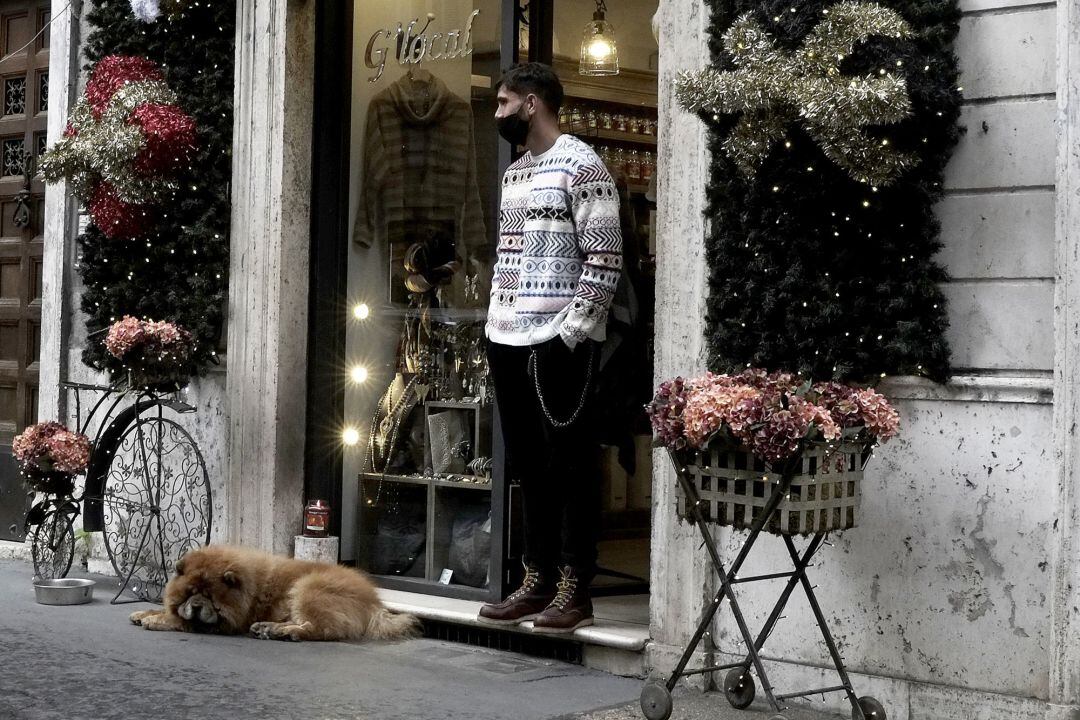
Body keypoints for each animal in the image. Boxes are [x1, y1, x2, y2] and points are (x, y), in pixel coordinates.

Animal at [130, 546, 421, 643]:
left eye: (210, 597)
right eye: (191, 593)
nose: (198, 606)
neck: (247, 590)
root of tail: (374, 602)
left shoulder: (225, 624)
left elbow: (180, 620)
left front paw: (155, 620)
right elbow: (167, 610)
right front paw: (144, 612)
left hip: (307, 589)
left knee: (317, 629)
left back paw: (283, 632)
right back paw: (267, 628)